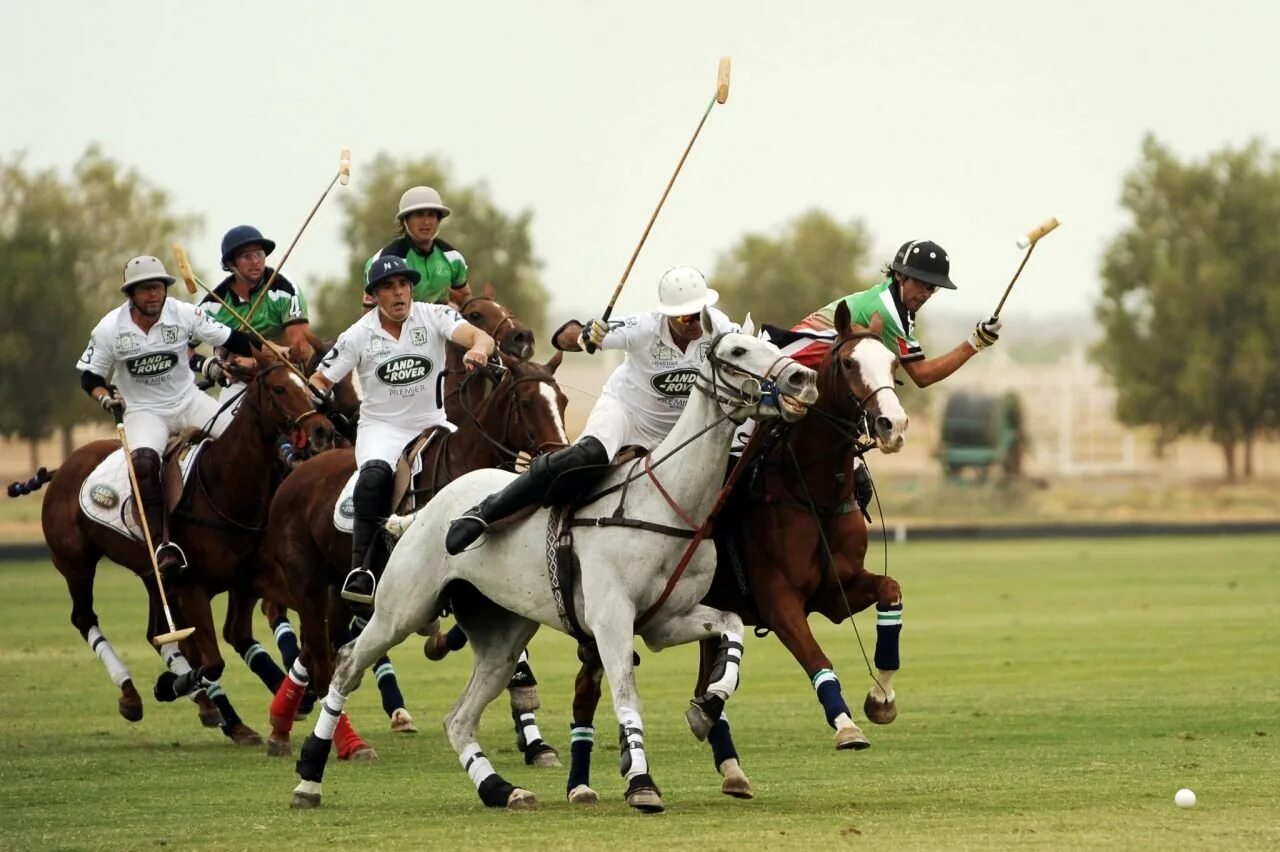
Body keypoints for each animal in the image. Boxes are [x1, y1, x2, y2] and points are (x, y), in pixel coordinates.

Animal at [20, 347, 335, 741]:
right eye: (279, 389)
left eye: (306, 385)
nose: (322, 431)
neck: (225, 487)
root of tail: (62, 467)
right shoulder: (192, 587)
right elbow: (212, 661)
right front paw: (170, 686)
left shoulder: (247, 581)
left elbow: (242, 636)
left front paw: (298, 697)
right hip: (76, 564)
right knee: (85, 618)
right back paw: (135, 694)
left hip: (150, 574)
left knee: (155, 632)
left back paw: (207, 705)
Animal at [254, 347, 565, 757]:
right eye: (527, 402)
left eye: (562, 401)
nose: (560, 456)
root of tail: (295, 476)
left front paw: (535, 738)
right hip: (307, 581)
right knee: (320, 654)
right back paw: (345, 741)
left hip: (338, 591)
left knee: (321, 650)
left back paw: (282, 726)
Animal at [288, 310, 819, 808]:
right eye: (737, 350)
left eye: (770, 346)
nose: (801, 379)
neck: (668, 503)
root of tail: (427, 508)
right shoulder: (611, 618)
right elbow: (626, 695)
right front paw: (642, 783)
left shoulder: (665, 621)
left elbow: (730, 627)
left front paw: (704, 709)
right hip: (401, 608)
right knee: (347, 663)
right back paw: (309, 779)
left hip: (502, 636)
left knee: (459, 718)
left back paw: (501, 790)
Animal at [563, 301, 911, 798]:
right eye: (848, 363)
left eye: (894, 365)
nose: (892, 426)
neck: (808, 489)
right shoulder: (779, 600)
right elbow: (817, 658)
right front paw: (846, 726)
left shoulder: (836, 590)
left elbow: (891, 592)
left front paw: (881, 696)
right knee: (586, 689)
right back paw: (580, 785)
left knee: (704, 681)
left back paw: (730, 767)